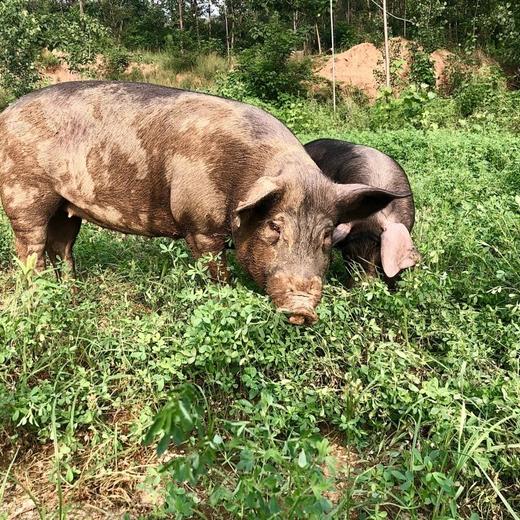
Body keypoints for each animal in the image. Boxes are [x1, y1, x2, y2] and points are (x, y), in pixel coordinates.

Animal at [0, 81, 406, 322]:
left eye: (326, 235)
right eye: (274, 227)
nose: (302, 310)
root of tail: (6, 113)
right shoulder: (199, 224)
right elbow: (216, 271)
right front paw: (223, 298)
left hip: (66, 206)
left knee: (62, 245)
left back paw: (72, 293)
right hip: (25, 193)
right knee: (30, 248)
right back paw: (39, 300)